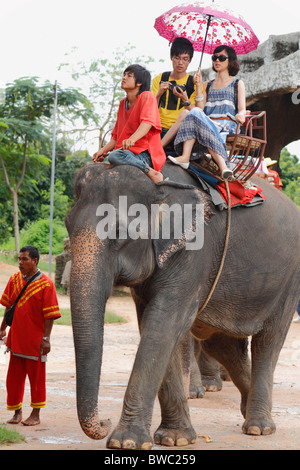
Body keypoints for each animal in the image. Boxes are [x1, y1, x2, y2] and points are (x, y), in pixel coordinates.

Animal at [65, 162, 300, 452]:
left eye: (119, 232)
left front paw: (126, 442)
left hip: (290, 279)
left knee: (268, 340)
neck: (157, 183)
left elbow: (165, 322)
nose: (103, 422)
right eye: (67, 225)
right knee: (222, 345)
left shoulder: (195, 251)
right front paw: (175, 439)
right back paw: (250, 411)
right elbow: (155, 324)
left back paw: (259, 427)